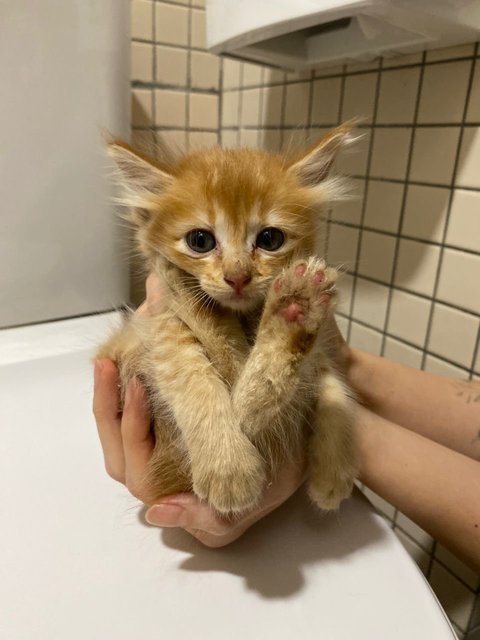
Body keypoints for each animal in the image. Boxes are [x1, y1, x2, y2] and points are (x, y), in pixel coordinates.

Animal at [97, 126, 358, 516]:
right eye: (200, 241)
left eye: (270, 238)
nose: (238, 277)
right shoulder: (161, 330)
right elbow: (197, 383)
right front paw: (228, 467)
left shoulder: (321, 357)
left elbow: (333, 388)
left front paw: (334, 471)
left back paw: (295, 309)